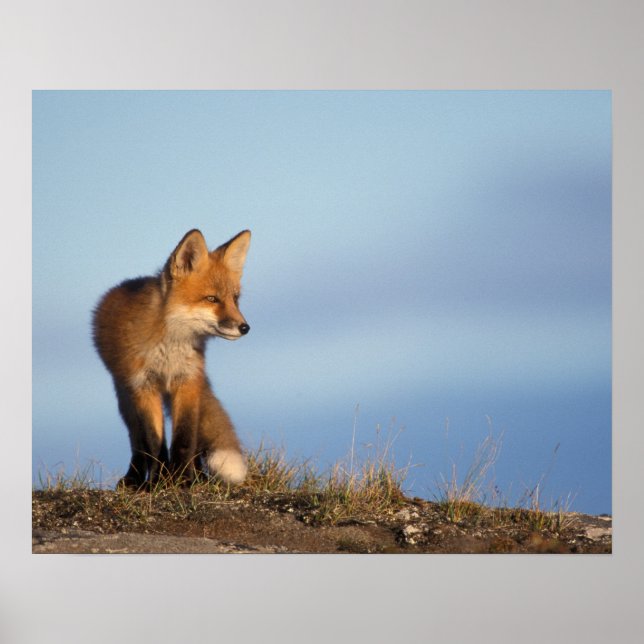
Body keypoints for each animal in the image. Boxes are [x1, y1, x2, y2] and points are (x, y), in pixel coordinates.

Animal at [92, 228, 251, 488]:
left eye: (235, 299)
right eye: (212, 299)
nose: (245, 327)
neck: (169, 348)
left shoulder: (187, 381)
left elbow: (185, 439)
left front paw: (183, 479)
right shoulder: (144, 386)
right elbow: (154, 442)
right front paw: (160, 482)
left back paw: (197, 476)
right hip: (125, 396)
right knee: (137, 442)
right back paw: (136, 478)